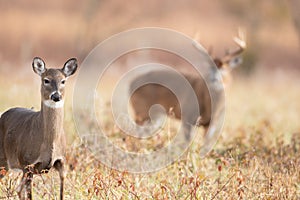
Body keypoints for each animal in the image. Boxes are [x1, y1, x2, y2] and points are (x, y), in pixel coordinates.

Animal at [0, 57, 78, 199]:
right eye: (46, 80)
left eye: (63, 81)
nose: (56, 96)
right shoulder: (28, 163)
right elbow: (30, 194)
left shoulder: (62, 162)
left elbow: (62, 193)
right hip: (3, 159)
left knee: (18, 189)